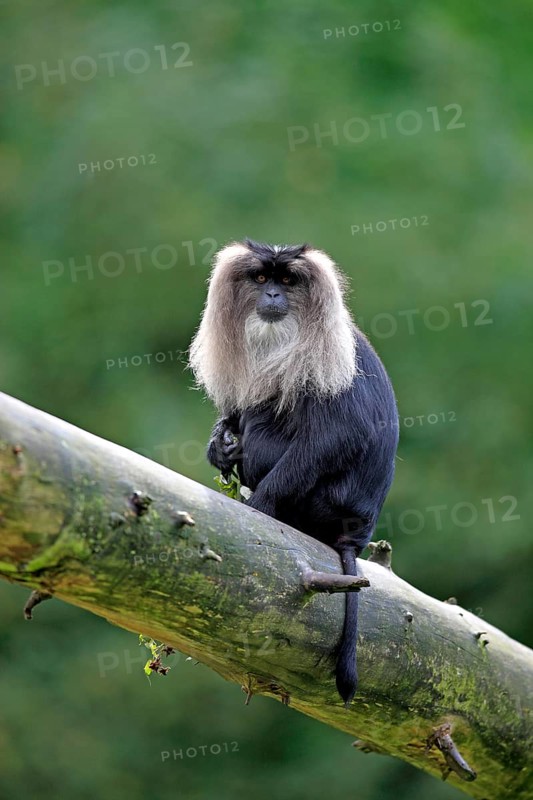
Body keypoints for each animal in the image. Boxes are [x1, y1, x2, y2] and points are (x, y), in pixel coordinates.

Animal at [189, 239, 399, 706]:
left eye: (287, 280)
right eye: (261, 278)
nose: (272, 295)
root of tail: (355, 534)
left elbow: (337, 436)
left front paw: (262, 507)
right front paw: (218, 444)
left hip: (319, 504)